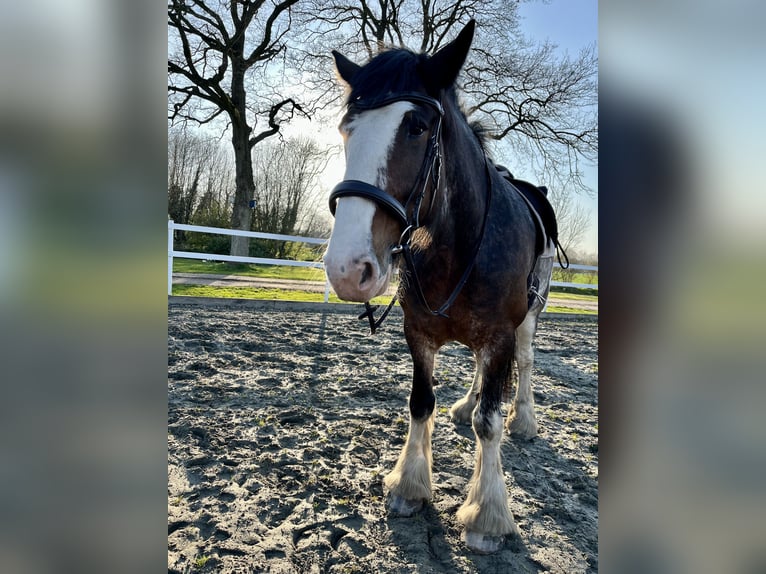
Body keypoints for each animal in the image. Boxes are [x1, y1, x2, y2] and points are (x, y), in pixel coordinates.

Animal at [323, 19, 558, 553]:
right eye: (347, 128)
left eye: (416, 126)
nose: (347, 268)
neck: (458, 244)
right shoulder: (419, 334)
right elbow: (420, 403)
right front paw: (409, 485)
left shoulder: (500, 337)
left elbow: (489, 423)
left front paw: (487, 515)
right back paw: (468, 401)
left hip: (528, 320)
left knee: (525, 366)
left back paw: (525, 420)